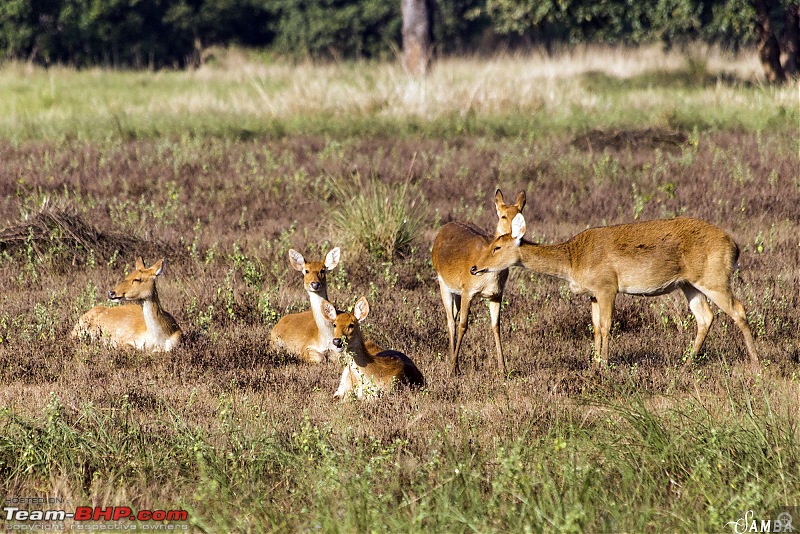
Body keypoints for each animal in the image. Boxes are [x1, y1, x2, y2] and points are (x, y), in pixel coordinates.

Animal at [432, 191, 524, 374]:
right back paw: (453, 362)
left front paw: (503, 369)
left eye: (520, 214)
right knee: (450, 321)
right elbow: (463, 325)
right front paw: (453, 369)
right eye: (503, 215)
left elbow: (496, 326)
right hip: (443, 284)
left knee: (454, 316)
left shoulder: (496, 295)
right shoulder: (468, 291)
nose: (513, 235)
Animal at [472, 214, 760, 368]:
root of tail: (735, 247)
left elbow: (607, 325)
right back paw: (687, 362)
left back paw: (756, 361)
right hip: (689, 284)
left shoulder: (607, 286)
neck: (572, 260)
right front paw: (594, 363)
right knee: (705, 317)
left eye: (497, 247)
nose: (475, 267)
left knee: (739, 309)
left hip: (714, 278)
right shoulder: (593, 293)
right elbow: (596, 327)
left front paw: (605, 364)